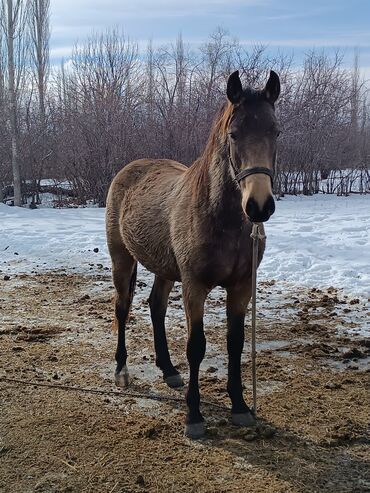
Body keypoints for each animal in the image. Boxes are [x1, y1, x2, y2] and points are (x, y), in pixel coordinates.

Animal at [105, 68, 278, 434]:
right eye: (234, 134)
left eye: (276, 132)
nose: (259, 206)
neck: (219, 218)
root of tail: (129, 170)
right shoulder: (195, 287)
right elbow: (196, 346)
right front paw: (194, 415)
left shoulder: (241, 288)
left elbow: (235, 343)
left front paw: (240, 406)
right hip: (121, 260)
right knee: (122, 309)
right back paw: (121, 370)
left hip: (164, 269)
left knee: (155, 306)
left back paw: (169, 370)